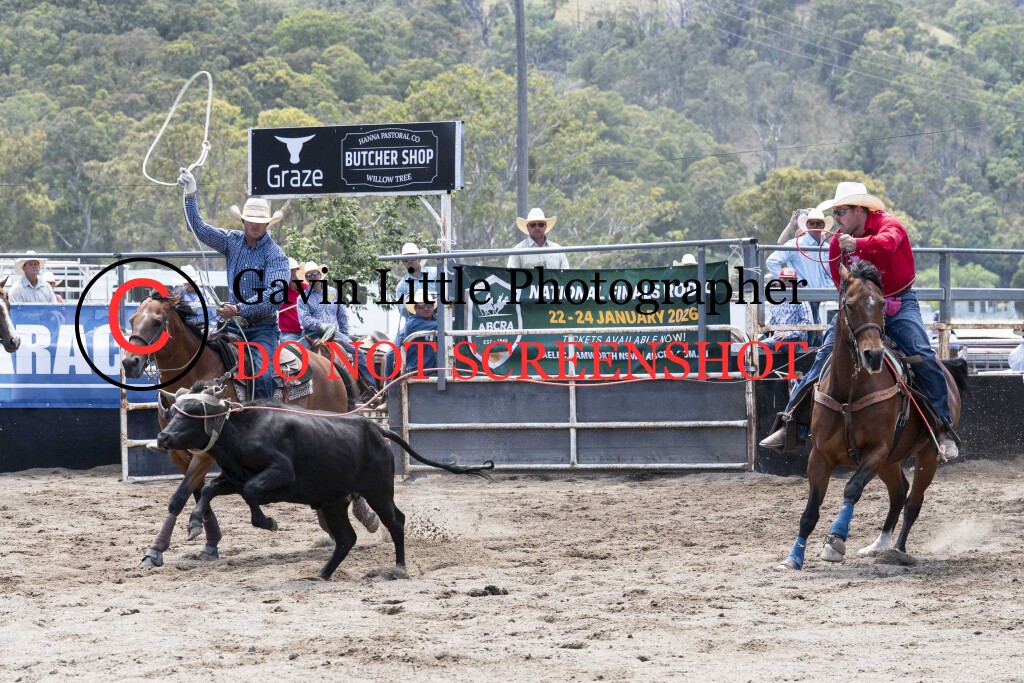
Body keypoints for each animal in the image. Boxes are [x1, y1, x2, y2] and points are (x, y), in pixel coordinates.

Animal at [122, 294, 361, 568]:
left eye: (157, 322)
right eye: (132, 319)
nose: (129, 362)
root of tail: (325, 361)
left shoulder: (206, 452)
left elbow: (179, 497)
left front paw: (156, 550)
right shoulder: (178, 454)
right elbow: (196, 493)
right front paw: (210, 540)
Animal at [155, 379, 493, 580]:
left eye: (193, 412)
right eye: (173, 411)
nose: (163, 437)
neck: (241, 428)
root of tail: (376, 429)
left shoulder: (280, 472)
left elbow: (251, 492)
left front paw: (268, 522)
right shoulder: (233, 479)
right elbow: (209, 489)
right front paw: (194, 525)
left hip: (378, 491)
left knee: (396, 521)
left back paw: (399, 566)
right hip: (334, 502)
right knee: (346, 539)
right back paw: (322, 574)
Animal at [779, 261, 967, 570]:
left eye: (880, 303)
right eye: (850, 305)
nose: (874, 355)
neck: (849, 391)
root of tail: (945, 366)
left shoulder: (877, 450)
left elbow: (852, 489)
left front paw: (835, 541)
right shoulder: (820, 454)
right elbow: (810, 511)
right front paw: (794, 557)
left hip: (925, 454)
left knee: (913, 501)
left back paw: (898, 550)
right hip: (890, 461)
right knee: (899, 492)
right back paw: (879, 544)